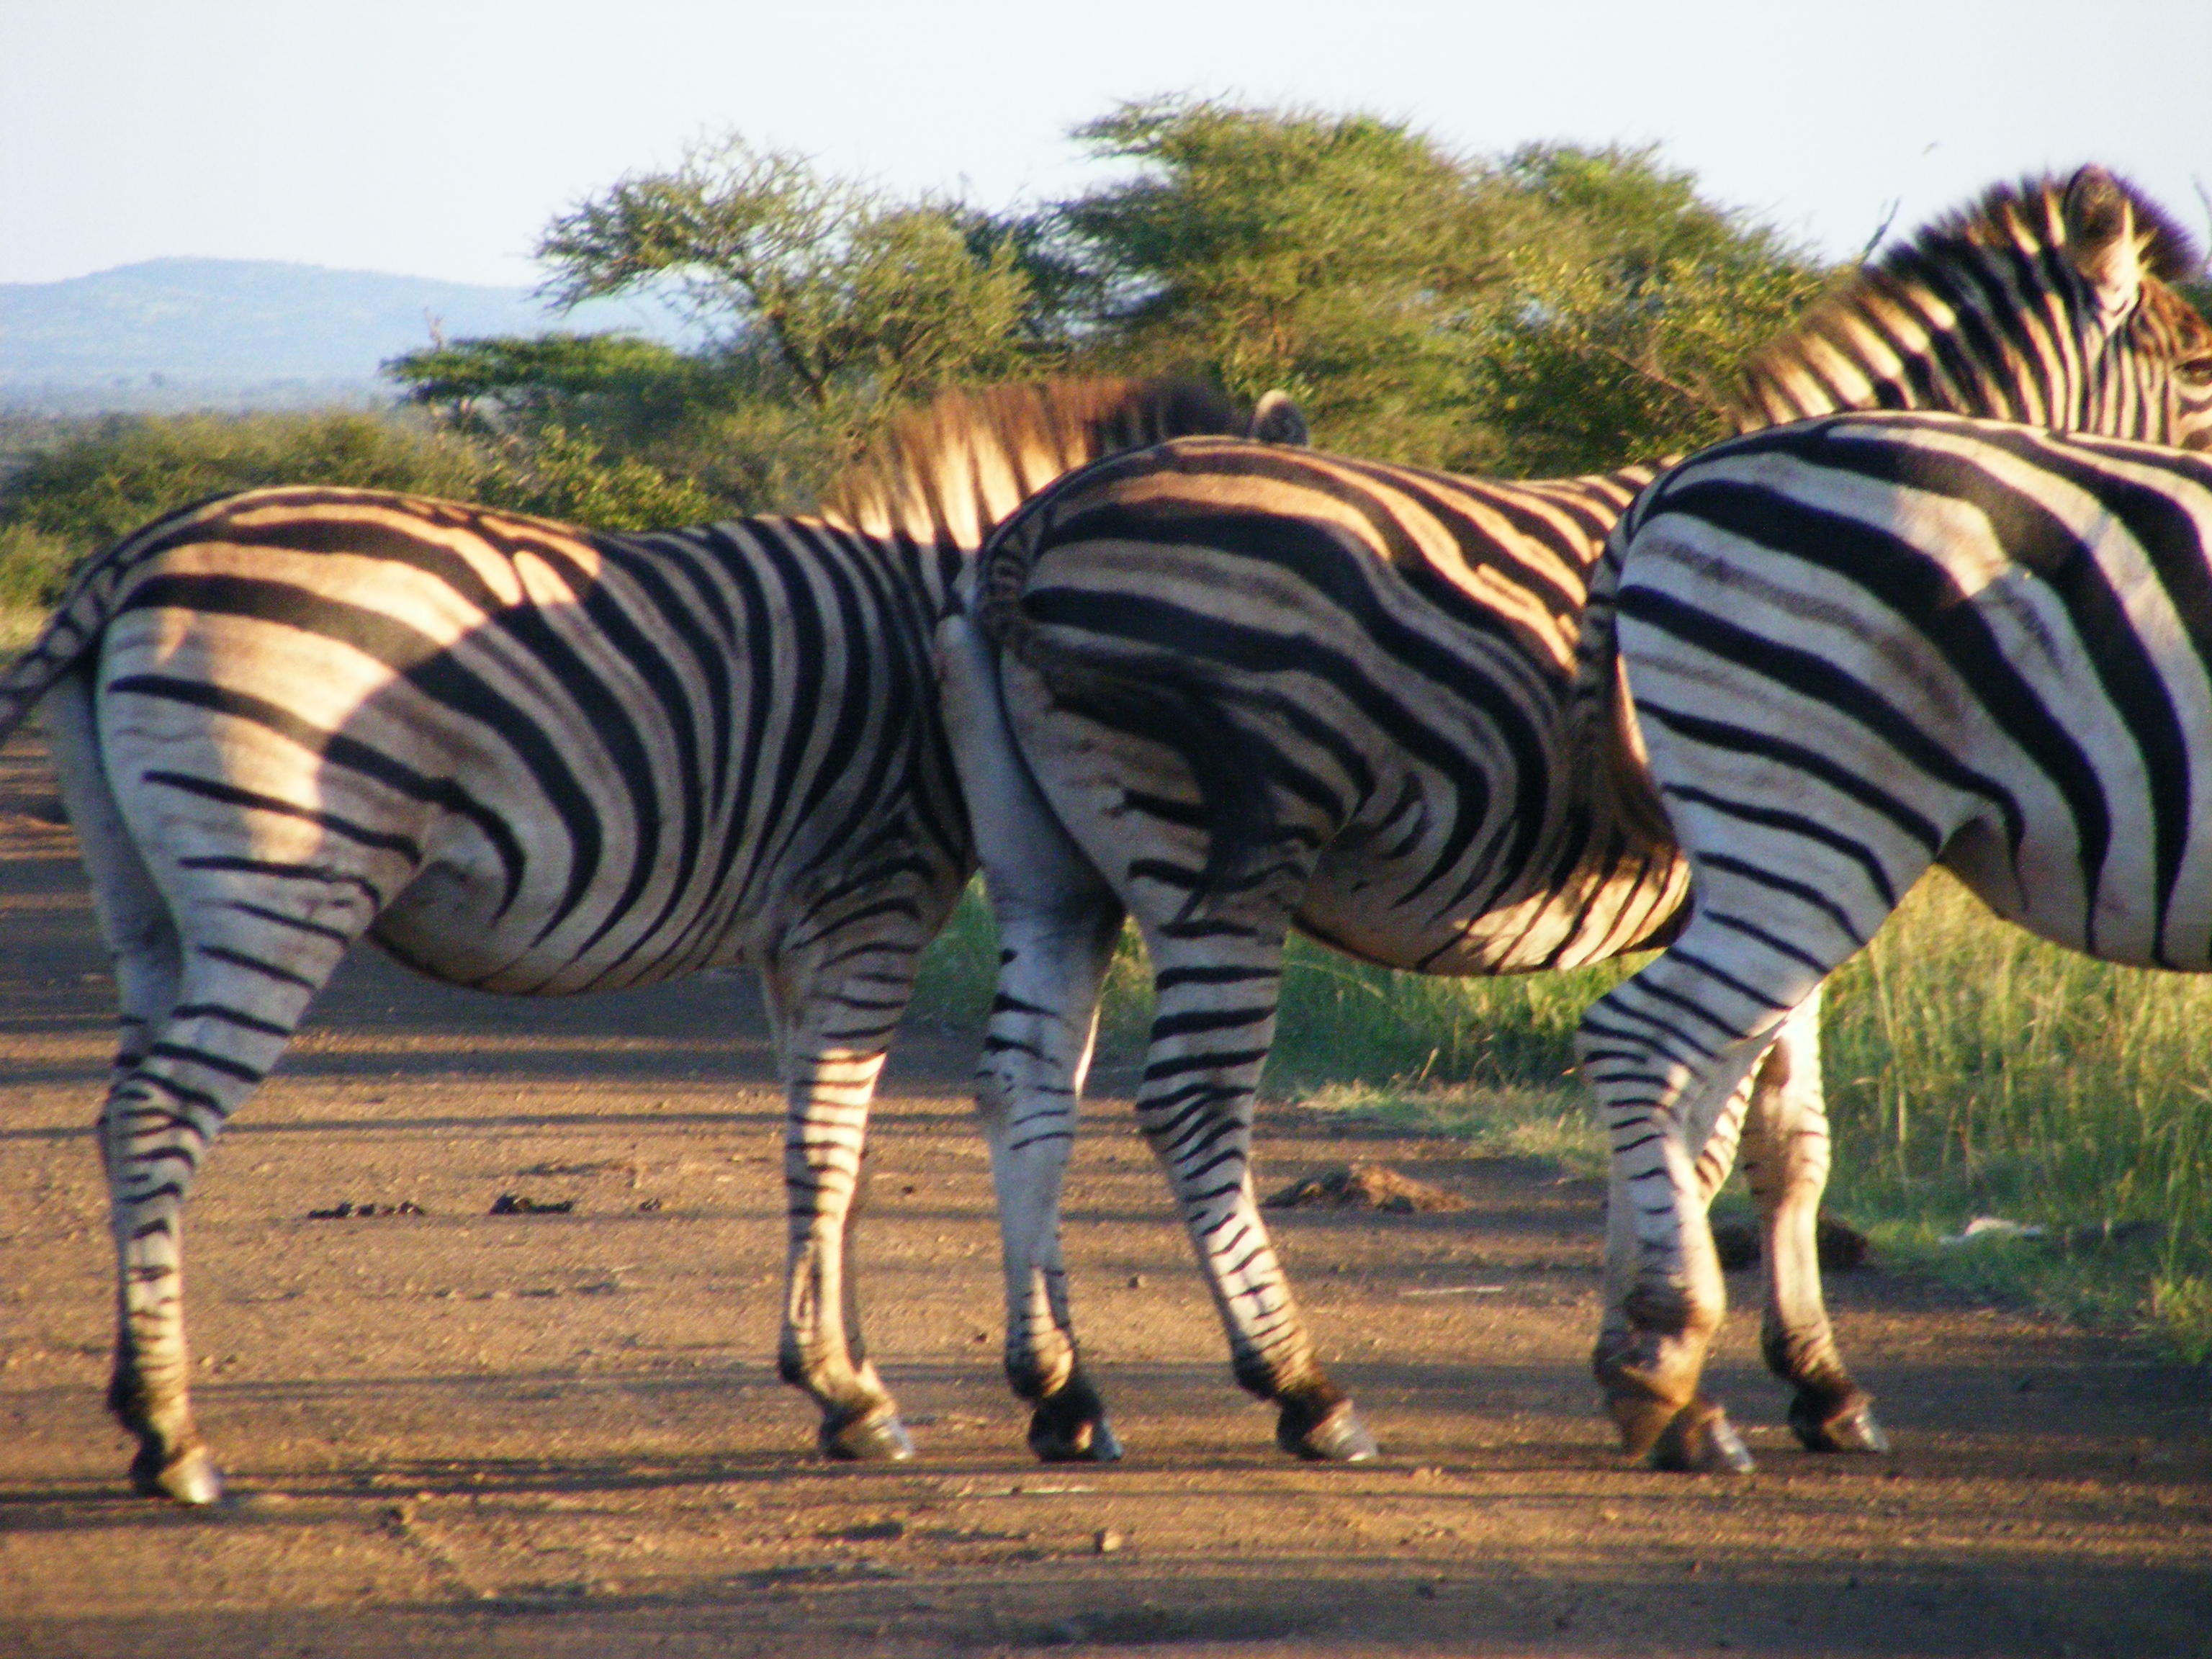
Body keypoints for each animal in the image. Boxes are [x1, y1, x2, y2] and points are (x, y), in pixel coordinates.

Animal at [0, 375, 1299, 1503]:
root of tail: (132, 557)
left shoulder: (797, 931)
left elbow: (825, 1149)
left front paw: (844, 1379)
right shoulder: (869, 896)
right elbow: (835, 1146)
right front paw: (853, 1393)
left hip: (147, 907)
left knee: (119, 1109)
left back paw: (143, 1414)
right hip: (277, 878)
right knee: (160, 1113)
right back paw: (175, 1436)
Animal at [1575, 412, 2212, 1471]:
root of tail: (1671, 483)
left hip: (1766, 842)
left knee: (1723, 1100)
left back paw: (1725, 1374)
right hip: (1813, 817)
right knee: (1642, 1043)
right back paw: (1663, 1358)